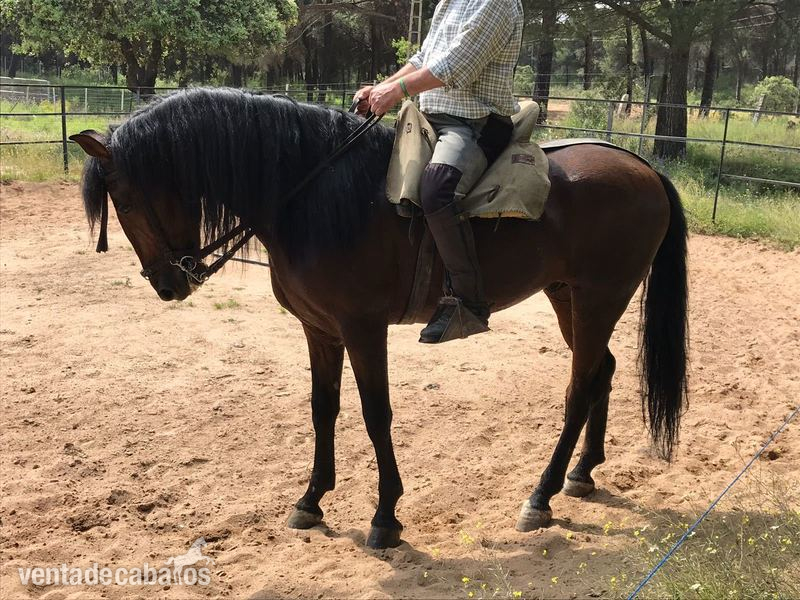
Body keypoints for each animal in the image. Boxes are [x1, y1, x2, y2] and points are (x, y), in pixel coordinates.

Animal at [70, 87, 688, 549]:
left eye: (124, 201)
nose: (168, 285)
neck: (312, 197)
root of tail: (643, 168)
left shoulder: (363, 330)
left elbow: (375, 415)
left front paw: (385, 516)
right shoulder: (319, 329)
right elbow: (323, 409)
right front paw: (311, 501)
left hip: (600, 296)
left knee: (580, 386)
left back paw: (542, 495)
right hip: (569, 298)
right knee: (602, 369)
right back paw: (583, 474)